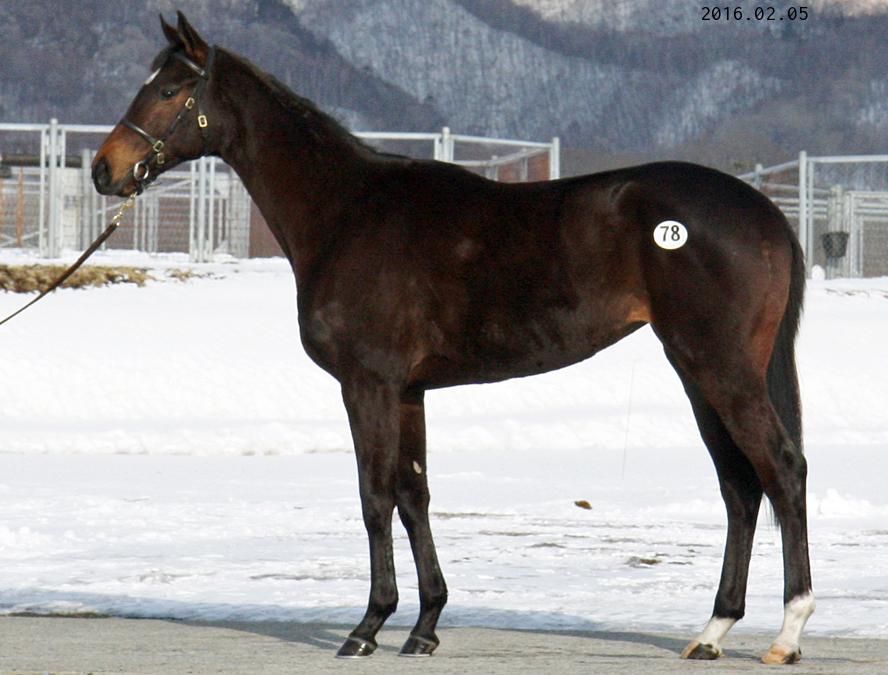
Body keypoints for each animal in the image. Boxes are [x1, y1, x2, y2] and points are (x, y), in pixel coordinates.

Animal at [92, 12, 813, 664]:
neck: (348, 211)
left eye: (168, 89)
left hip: (720, 368)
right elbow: (415, 496)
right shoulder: (409, 391)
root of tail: (765, 213)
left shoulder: (369, 383)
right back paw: (713, 631)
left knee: (781, 467)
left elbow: (374, 496)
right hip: (697, 372)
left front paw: (367, 627)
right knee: (739, 485)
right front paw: (424, 626)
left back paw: (787, 632)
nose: (104, 169)